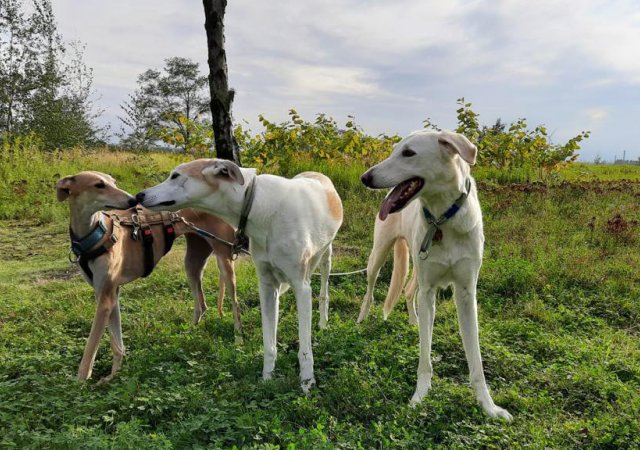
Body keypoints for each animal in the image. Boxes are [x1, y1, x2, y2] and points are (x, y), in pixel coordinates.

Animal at [137, 160, 342, 392]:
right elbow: (269, 342)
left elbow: (305, 349)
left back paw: (323, 323)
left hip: (326, 257)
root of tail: (317, 174)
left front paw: (307, 383)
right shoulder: (267, 286)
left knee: (324, 292)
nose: (139, 196)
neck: (257, 204)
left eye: (175, 176)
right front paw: (267, 378)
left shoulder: (301, 286)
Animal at [362, 128, 512, 420]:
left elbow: (476, 361)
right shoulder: (429, 289)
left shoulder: (466, 294)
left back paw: (413, 321)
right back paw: (361, 320)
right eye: (394, 151)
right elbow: (425, 357)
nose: (365, 177)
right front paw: (420, 396)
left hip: (418, 267)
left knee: (409, 291)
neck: (444, 219)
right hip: (379, 255)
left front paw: (488, 406)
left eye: (408, 153)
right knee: (371, 290)